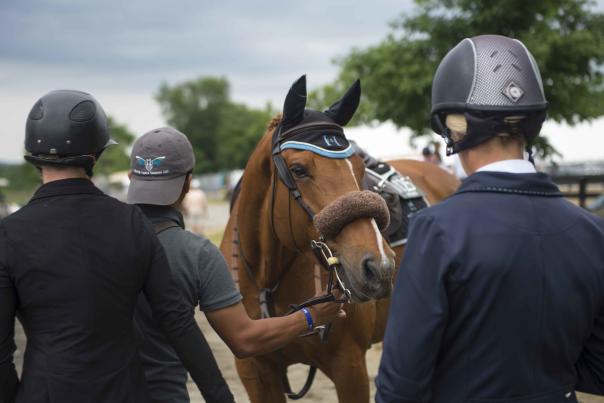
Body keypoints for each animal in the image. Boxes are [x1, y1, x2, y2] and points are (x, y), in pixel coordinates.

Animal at [219, 76, 460, 403]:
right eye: (298, 170)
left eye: (358, 168)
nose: (379, 267)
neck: (268, 279)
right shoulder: (255, 374)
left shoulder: (349, 366)